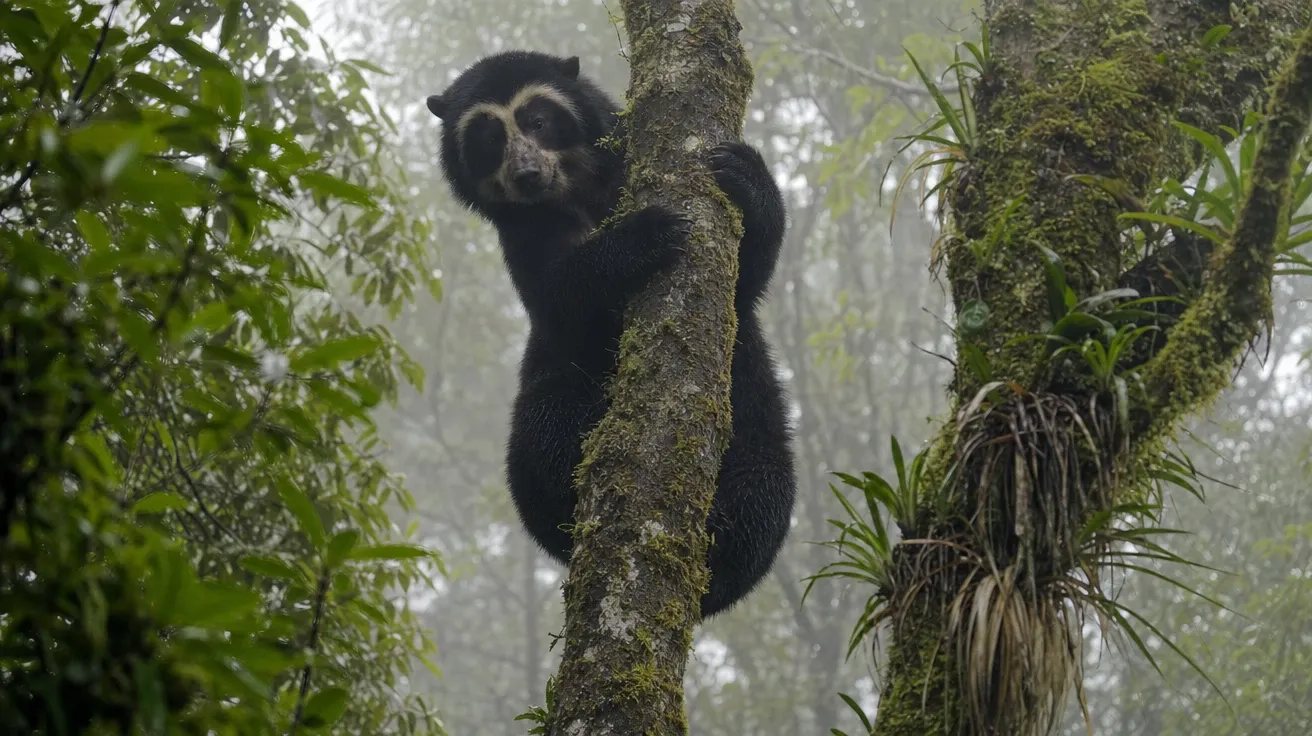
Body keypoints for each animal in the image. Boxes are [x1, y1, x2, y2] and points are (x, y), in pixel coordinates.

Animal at [426, 50, 796, 618]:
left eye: (538, 120)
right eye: (488, 139)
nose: (527, 174)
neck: (576, 191)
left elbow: (747, 277)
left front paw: (743, 170)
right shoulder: (524, 234)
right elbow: (561, 294)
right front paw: (647, 233)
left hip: (753, 402)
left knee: (764, 489)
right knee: (542, 437)